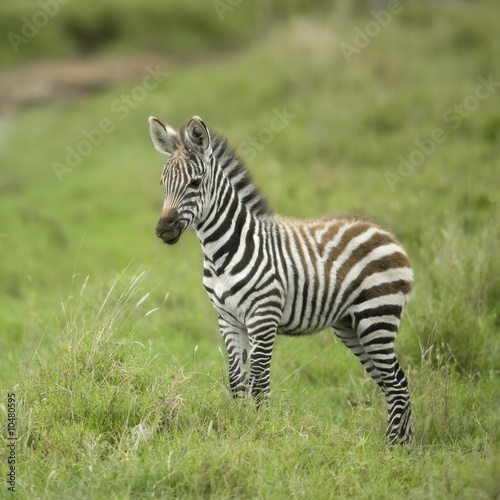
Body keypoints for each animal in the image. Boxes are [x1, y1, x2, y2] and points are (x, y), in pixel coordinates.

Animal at [147, 116, 414, 446]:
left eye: (195, 183)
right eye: (163, 184)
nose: (162, 230)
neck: (222, 252)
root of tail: (387, 234)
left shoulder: (263, 317)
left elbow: (259, 384)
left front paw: (258, 433)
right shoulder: (227, 319)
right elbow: (237, 382)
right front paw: (238, 427)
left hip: (376, 318)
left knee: (397, 384)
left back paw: (391, 448)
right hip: (351, 327)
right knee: (392, 383)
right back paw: (406, 447)